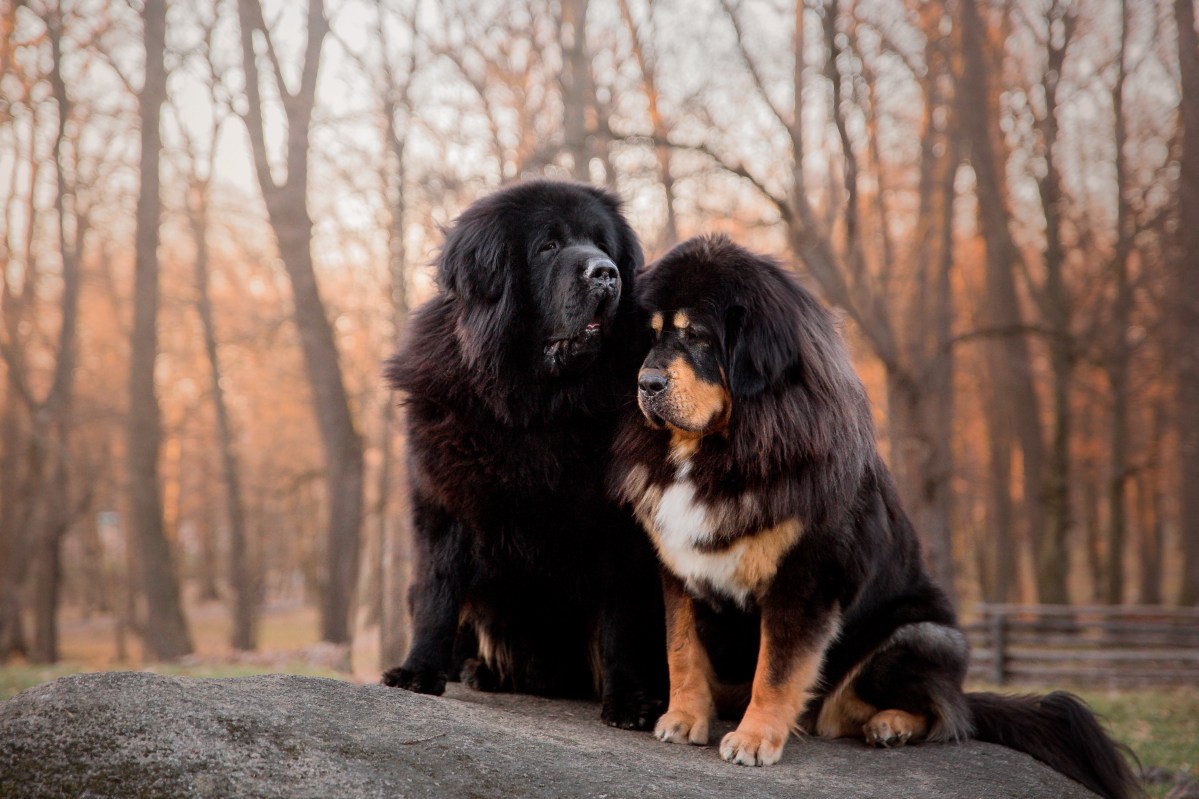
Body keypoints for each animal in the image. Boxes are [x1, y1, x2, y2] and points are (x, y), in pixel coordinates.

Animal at [378, 177, 666, 724]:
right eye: (547, 246)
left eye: (602, 243)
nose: (606, 273)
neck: (536, 406)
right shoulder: (443, 504)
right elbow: (438, 594)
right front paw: (419, 672)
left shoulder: (622, 528)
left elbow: (621, 621)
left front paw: (628, 700)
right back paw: (474, 671)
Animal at [609, 233, 1141, 791]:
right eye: (652, 337)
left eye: (698, 336)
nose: (646, 383)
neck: (723, 449)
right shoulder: (678, 566)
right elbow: (682, 650)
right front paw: (683, 718)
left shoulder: (805, 576)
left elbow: (776, 669)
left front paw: (754, 739)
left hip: (918, 637)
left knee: (941, 713)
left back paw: (893, 726)